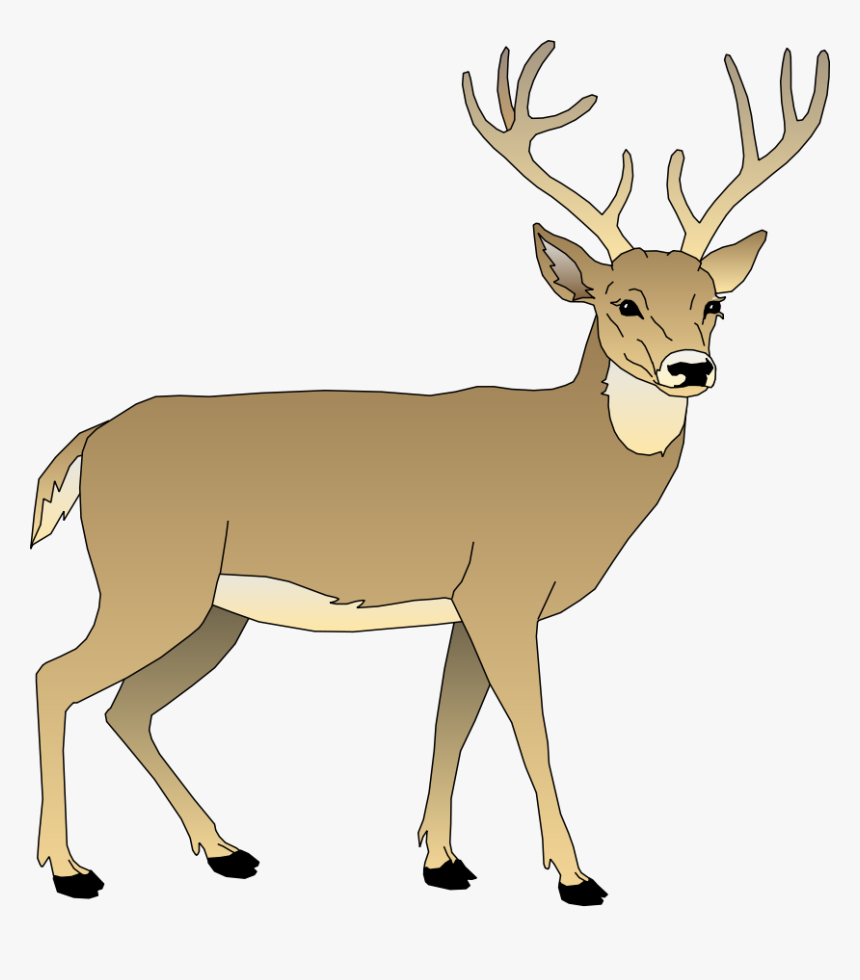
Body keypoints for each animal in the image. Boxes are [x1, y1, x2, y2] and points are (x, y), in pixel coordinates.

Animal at [31, 40, 829, 903]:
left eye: (715, 304)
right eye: (622, 302)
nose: (692, 368)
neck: (571, 465)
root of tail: (90, 440)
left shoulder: (467, 603)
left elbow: (452, 720)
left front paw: (442, 862)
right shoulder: (504, 591)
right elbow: (531, 728)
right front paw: (575, 876)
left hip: (213, 608)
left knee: (125, 709)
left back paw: (225, 850)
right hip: (152, 581)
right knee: (55, 678)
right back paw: (71, 869)